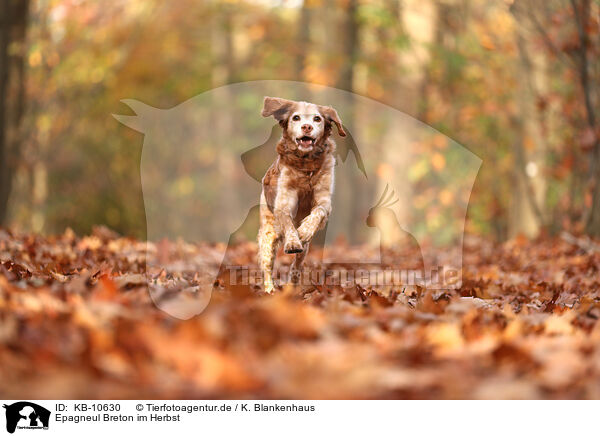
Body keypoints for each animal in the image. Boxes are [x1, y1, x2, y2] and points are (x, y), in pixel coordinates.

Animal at [258, 95, 346, 292]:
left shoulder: (324, 199)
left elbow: (318, 212)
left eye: (317, 118)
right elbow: (288, 223)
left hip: (303, 251)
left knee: (296, 267)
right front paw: (292, 241)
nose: (307, 127)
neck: (306, 166)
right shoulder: (284, 201)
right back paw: (269, 290)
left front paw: (305, 231)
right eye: (296, 118)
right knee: (267, 267)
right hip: (268, 234)